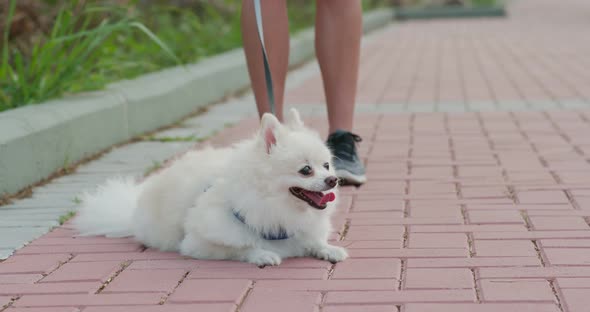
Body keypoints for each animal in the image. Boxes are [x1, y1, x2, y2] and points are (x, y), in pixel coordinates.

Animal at [75, 108, 350, 266]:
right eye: (306, 170)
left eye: (327, 165)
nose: (332, 180)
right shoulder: (198, 243)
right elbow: (240, 247)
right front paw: (261, 254)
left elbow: (314, 241)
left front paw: (328, 249)